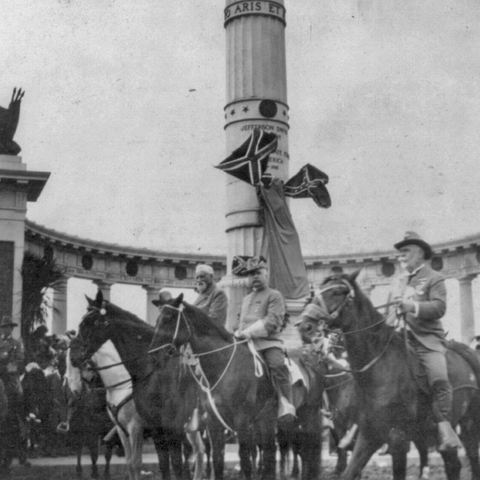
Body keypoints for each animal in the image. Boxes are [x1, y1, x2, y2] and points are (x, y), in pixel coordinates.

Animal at [70, 290, 202, 480]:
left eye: (92, 321)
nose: (75, 357)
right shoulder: (138, 430)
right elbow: (142, 464)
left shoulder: (144, 428)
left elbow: (151, 464)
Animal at [296, 272, 480, 480]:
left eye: (336, 292)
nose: (305, 326)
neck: (377, 371)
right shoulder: (368, 435)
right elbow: (349, 471)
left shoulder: (397, 439)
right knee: (453, 464)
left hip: (469, 424)